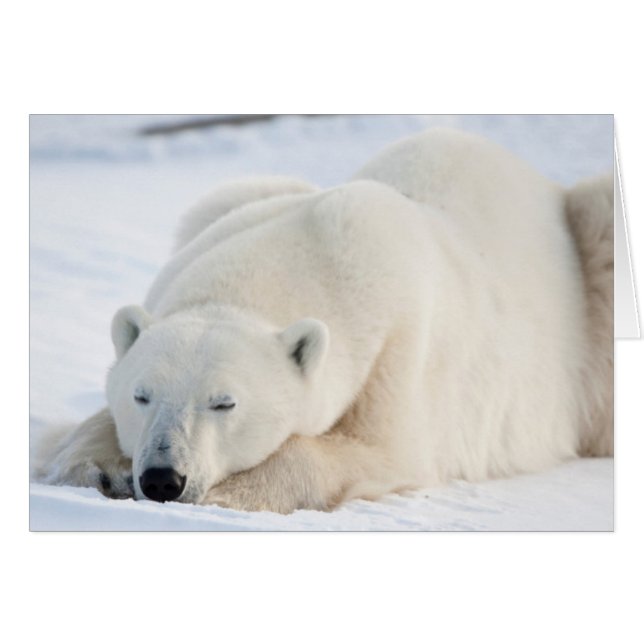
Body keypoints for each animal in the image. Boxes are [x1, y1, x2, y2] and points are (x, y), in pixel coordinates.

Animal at [36, 128, 613, 513]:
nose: (162, 478)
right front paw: (90, 466)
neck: (319, 242)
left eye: (224, 403)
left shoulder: (402, 349)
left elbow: (380, 452)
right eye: (141, 395)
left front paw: (231, 494)